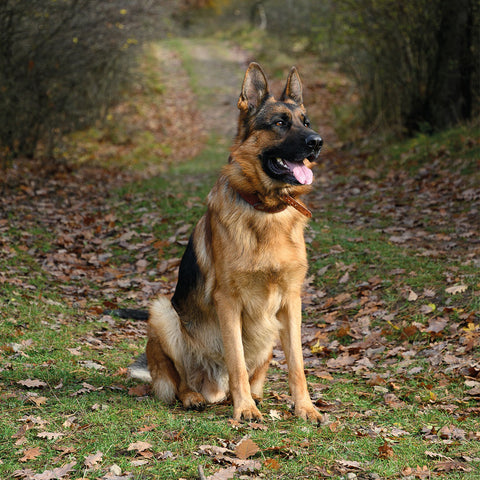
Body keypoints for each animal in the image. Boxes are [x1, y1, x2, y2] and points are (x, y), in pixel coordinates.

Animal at [128, 62, 322, 422]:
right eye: (279, 123)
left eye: (306, 122)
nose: (318, 142)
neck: (266, 210)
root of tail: (213, 389)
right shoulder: (228, 301)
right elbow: (236, 360)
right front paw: (244, 408)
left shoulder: (291, 300)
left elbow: (297, 364)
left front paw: (305, 407)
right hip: (163, 312)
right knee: (179, 381)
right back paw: (195, 396)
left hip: (270, 331)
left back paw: (254, 395)